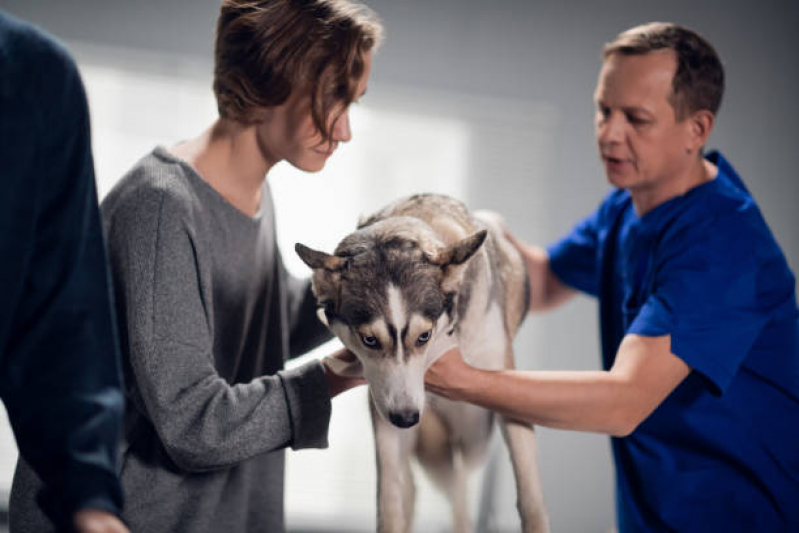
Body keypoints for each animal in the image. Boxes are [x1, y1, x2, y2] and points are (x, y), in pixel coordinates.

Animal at [296, 193, 552, 528]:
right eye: (369, 340)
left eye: (424, 336)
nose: (406, 418)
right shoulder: (384, 414)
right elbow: (389, 502)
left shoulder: (508, 395)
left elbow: (530, 496)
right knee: (429, 489)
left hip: (473, 437)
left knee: (460, 486)